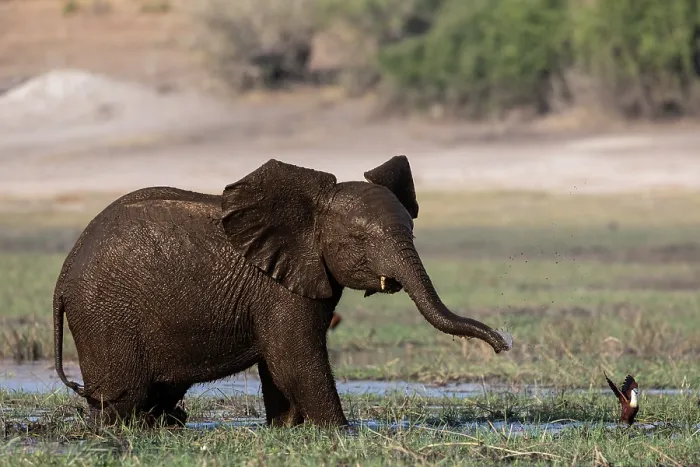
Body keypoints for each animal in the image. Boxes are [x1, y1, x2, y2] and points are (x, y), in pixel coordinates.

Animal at [53, 155, 513, 428]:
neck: (312, 208)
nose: (502, 345)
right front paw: (341, 434)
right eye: (358, 240)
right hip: (104, 315)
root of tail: (63, 276)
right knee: (122, 399)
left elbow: (279, 364)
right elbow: (294, 357)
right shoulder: (281, 287)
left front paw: (285, 430)